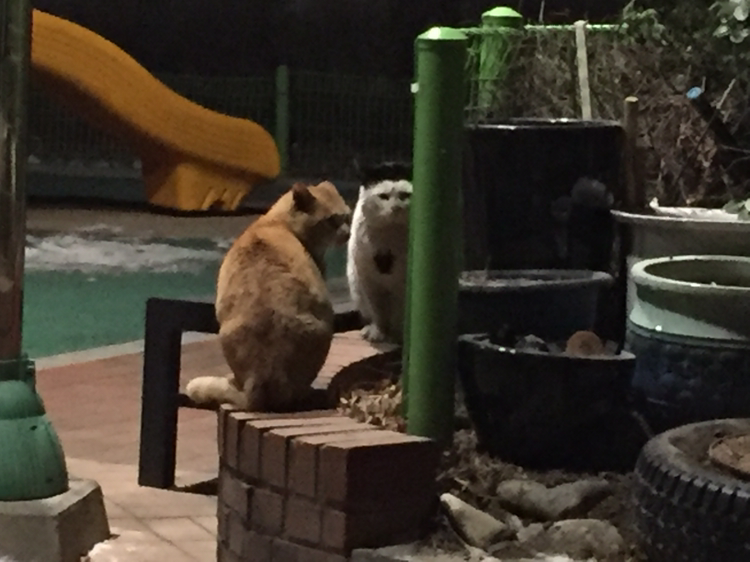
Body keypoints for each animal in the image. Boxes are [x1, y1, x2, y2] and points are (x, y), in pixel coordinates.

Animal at [347, 160, 412, 344]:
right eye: (383, 196)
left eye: (405, 195)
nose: (396, 208)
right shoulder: (368, 282)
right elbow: (377, 311)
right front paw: (378, 332)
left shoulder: (401, 285)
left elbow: (399, 311)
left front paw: (398, 335)